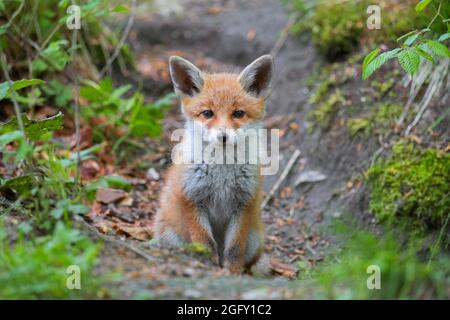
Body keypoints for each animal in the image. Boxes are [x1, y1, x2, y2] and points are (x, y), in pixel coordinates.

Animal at [155, 53, 274, 274]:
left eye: (238, 113)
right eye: (207, 113)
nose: (223, 136)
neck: (222, 172)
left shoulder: (244, 203)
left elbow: (234, 248)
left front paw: (232, 272)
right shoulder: (192, 198)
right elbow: (205, 242)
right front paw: (207, 266)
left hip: (255, 240)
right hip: (169, 235)